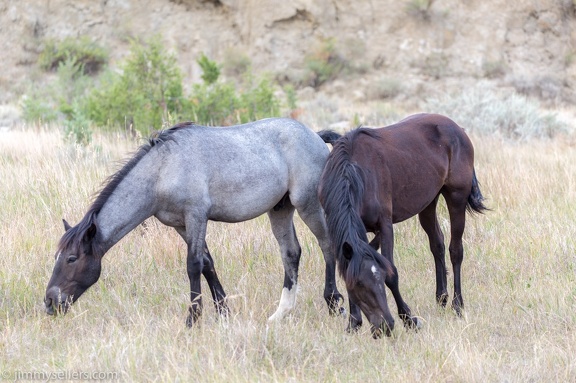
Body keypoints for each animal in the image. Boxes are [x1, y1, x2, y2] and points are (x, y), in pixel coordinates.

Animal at [46, 118, 342, 326]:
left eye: (72, 258)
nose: (50, 301)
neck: (163, 169)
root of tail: (315, 136)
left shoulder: (196, 216)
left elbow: (193, 265)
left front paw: (193, 319)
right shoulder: (181, 225)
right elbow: (208, 264)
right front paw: (223, 313)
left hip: (307, 205)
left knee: (327, 245)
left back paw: (334, 303)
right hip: (280, 209)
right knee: (291, 253)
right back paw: (281, 314)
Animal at [320, 114, 486, 340]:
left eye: (380, 280)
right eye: (359, 285)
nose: (384, 326)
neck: (355, 172)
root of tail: (457, 128)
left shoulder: (385, 225)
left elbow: (392, 272)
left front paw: (408, 318)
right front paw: (353, 323)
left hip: (456, 199)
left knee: (455, 251)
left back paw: (457, 305)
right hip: (428, 203)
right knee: (438, 245)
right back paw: (441, 298)